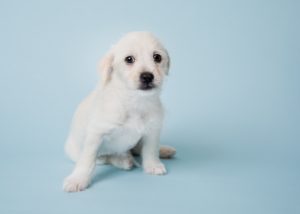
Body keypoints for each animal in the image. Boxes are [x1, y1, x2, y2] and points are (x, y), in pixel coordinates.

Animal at [63, 31, 176, 192]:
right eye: (129, 59)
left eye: (157, 57)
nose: (147, 76)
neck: (134, 101)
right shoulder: (95, 136)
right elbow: (88, 160)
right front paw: (78, 179)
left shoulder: (152, 131)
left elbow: (150, 150)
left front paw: (153, 165)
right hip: (76, 151)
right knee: (105, 158)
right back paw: (123, 160)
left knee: (137, 149)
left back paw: (163, 150)